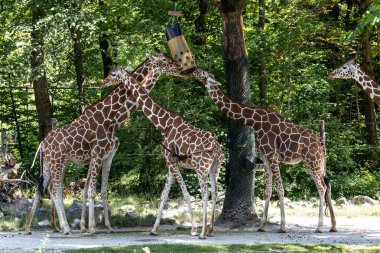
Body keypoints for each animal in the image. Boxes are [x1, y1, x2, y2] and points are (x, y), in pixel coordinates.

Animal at [23, 53, 184, 235]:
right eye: (164, 60)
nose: (179, 67)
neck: (112, 119)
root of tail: (43, 143)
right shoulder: (97, 154)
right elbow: (91, 191)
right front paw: (91, 227)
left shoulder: (107, 156)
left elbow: (102, 191)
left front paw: (105, 226)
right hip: (58, 162)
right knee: (54, 189)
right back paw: (64, 228)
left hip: (51, 163)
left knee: (42, 188)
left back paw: (31, 227)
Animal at [101, 66, 223, 239]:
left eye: (113, 74)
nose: (103, 82)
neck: (165, 125)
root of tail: (217, 148)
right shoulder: (171, 165)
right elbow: (164, 195)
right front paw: (153, 230)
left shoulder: (170, 161)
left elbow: (185, 194)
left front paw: (193, 229)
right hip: (215, 168)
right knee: (215, 191)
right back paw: (210, 230)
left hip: (201, 168)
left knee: (205, 193)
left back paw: (203, 233)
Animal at [191, 67, 336, 233]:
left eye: (203, 73)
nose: (193, 70)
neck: (256, 122)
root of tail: (321, 142)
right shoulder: (266, 158)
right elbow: (268, 190)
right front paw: (261, 226)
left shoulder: (272, 156)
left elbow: (280, 189)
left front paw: (283, 226)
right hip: (319, 162)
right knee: (328, 184)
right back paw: (333, 226)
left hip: (311, 161)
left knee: (322, 187)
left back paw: (319, 227)